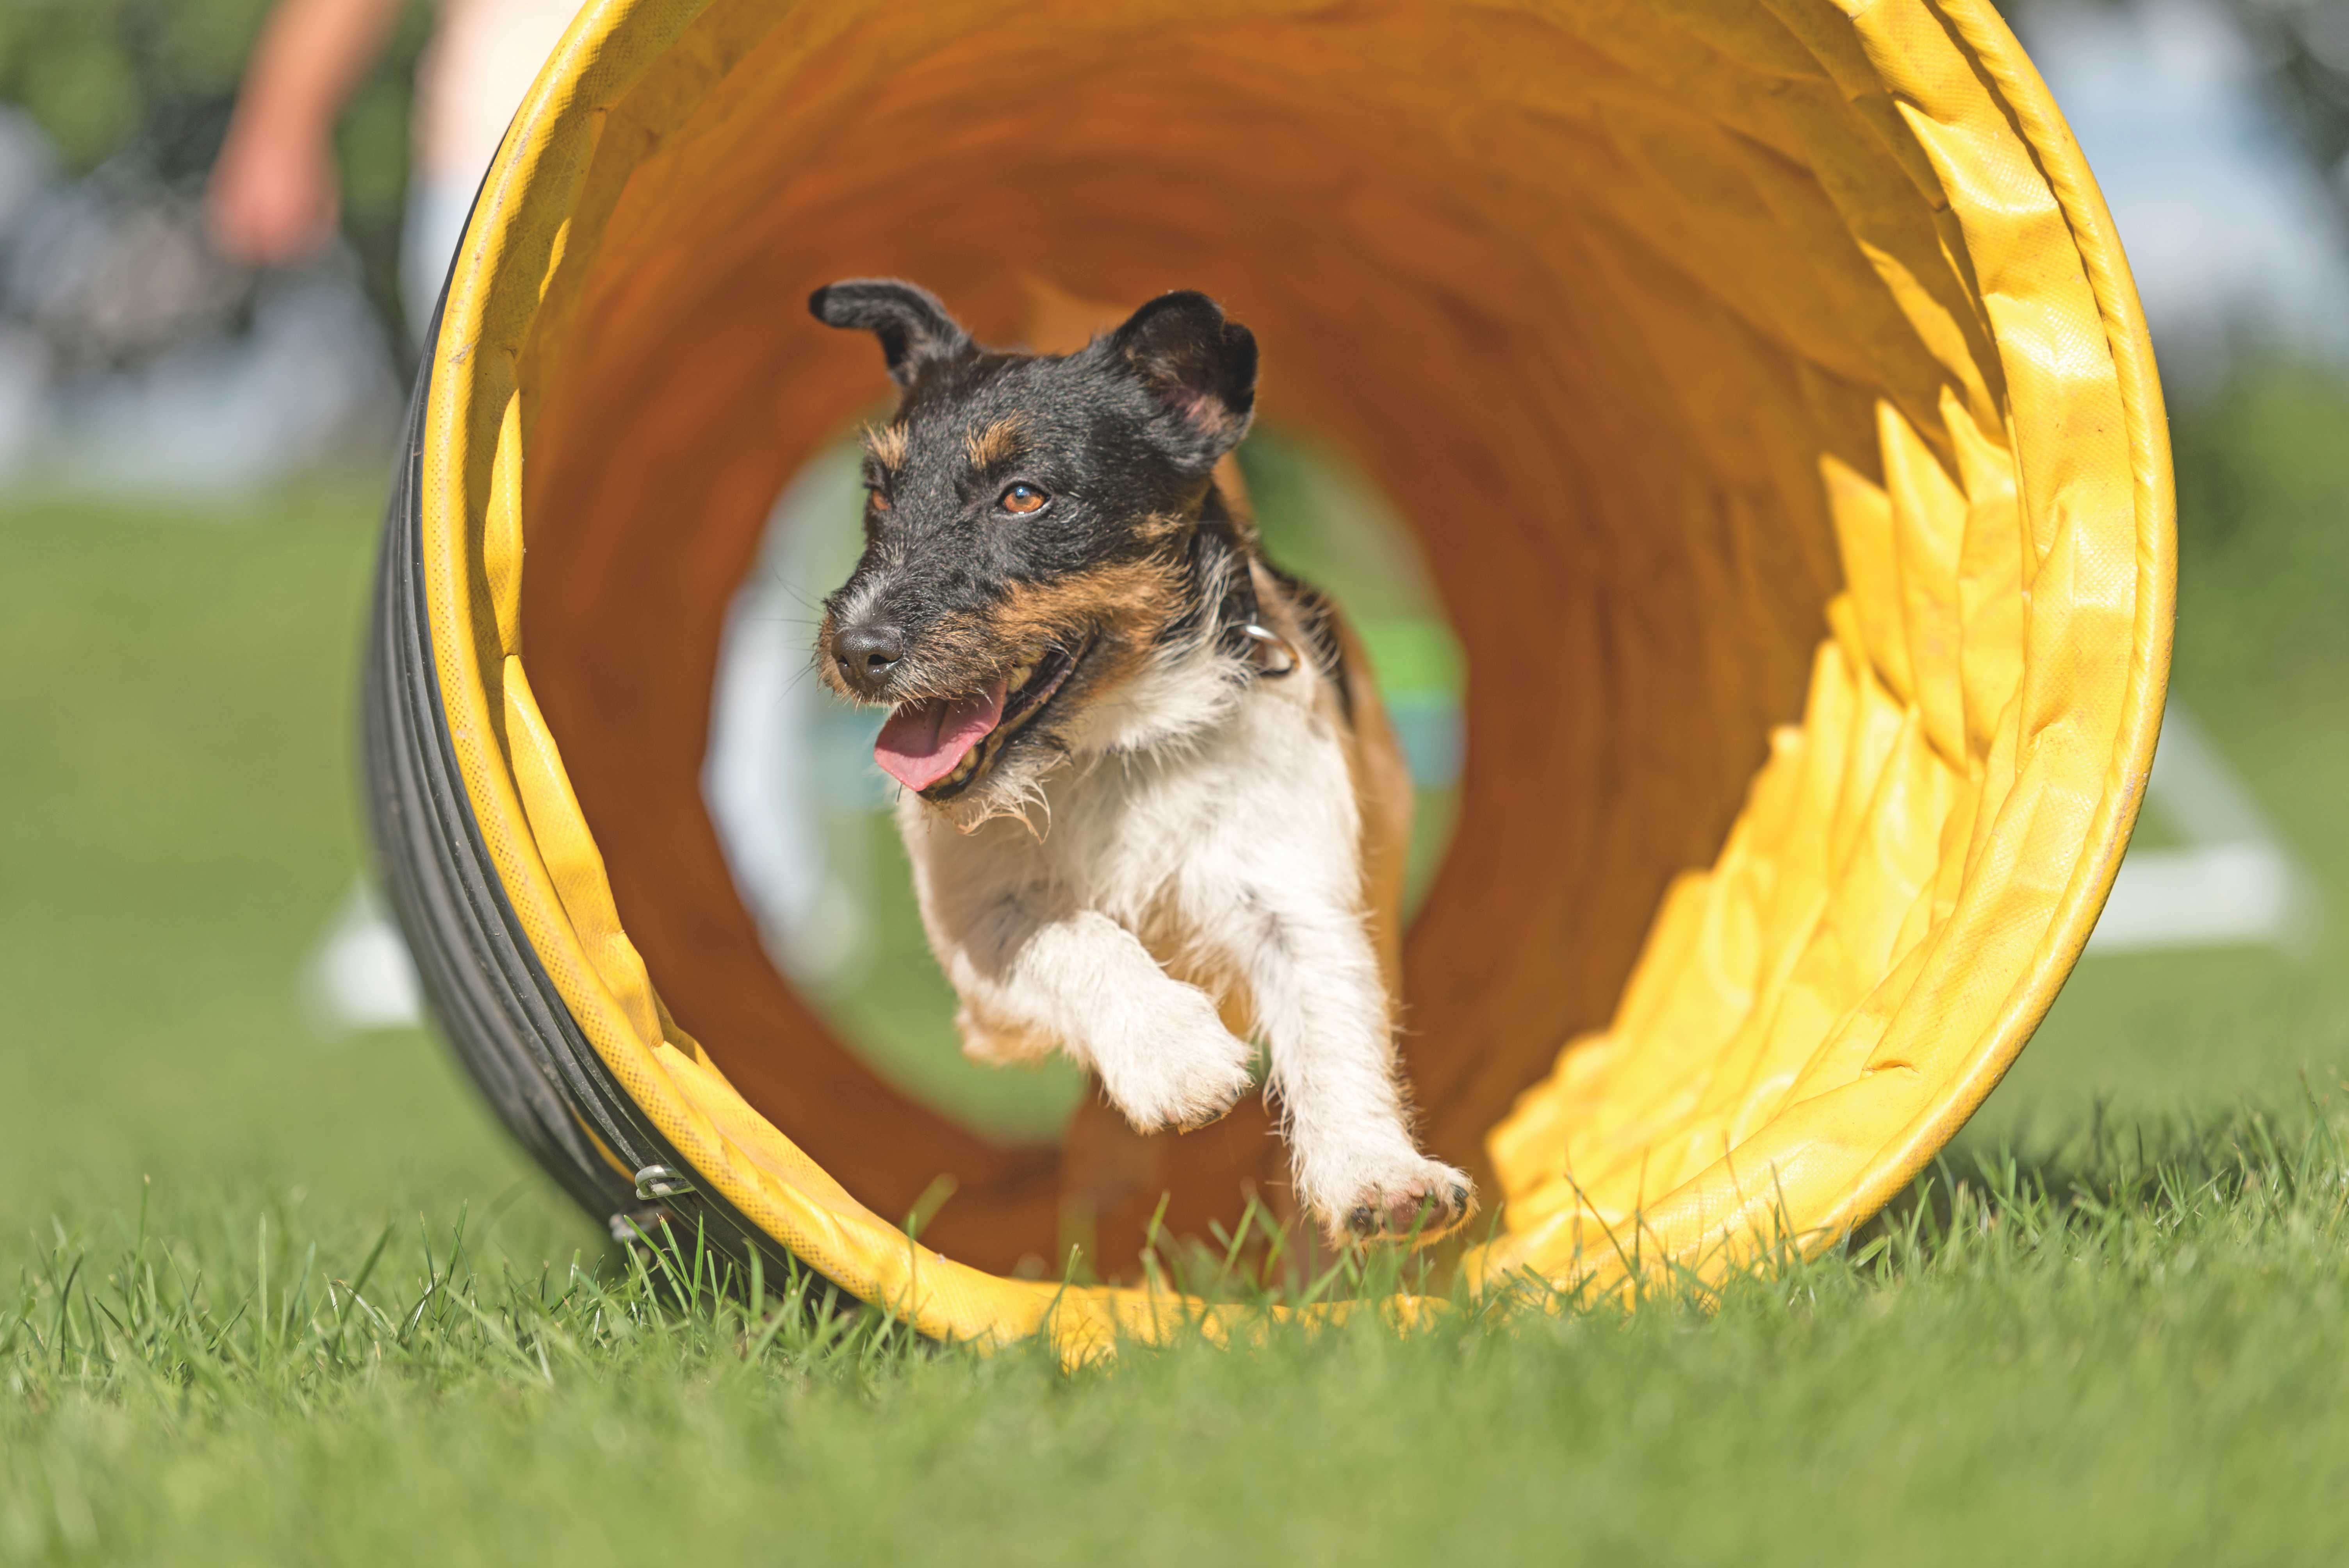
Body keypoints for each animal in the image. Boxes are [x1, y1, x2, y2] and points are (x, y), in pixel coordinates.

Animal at [808, 276, 1465, 1239]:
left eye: (1024, 496)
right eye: (880, 494)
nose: (856, 650)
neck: (1114, 746)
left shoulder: (1293, 895)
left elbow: (1332, 1025)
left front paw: (1378, 1172)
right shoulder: (980, 948)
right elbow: (1073, 932)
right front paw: (1177, 1058)